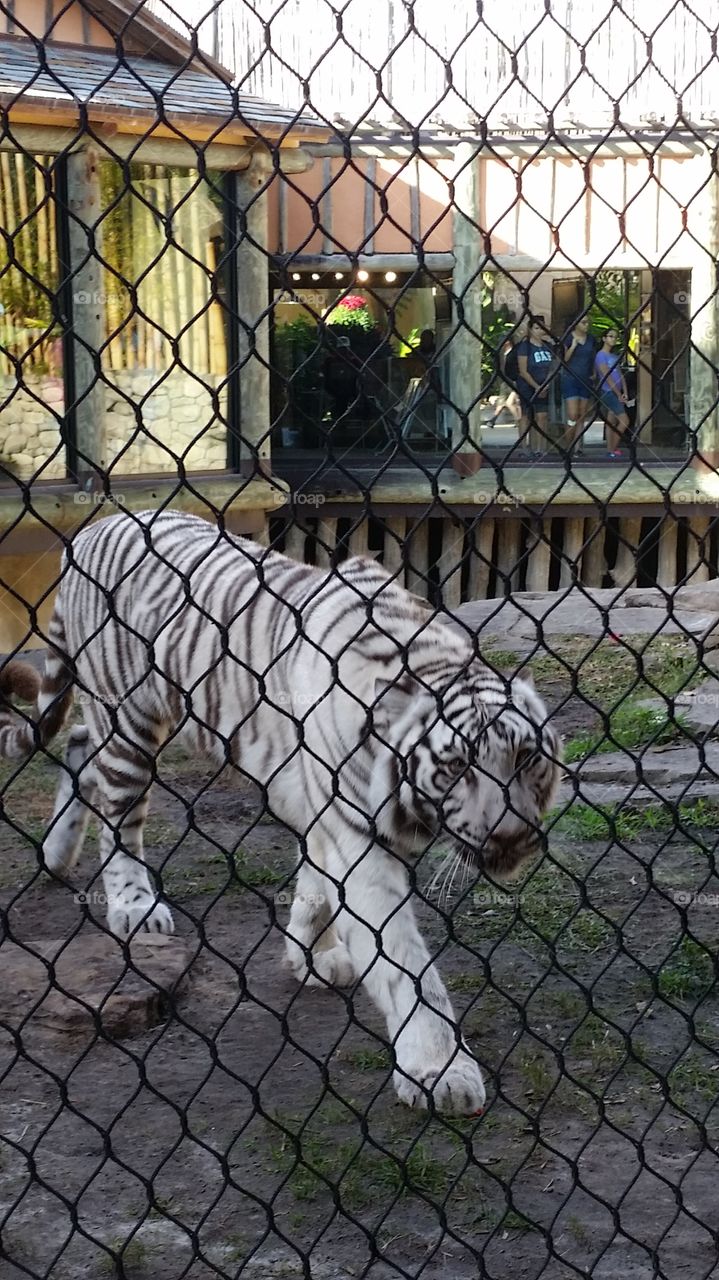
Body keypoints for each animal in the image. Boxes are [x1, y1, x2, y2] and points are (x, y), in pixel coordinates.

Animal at [0, 509, 560, 1111]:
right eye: (456, 768)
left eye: (526, 758)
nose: (512, 835)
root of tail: (92, 527)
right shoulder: (356, 837)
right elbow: (405, 964)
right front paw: (441, 1070)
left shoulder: (323, 813)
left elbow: (316, 884)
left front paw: (312, 954)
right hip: (128, 717)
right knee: (118, 815)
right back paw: (134, 905)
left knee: (82, 747)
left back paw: (56, 854)